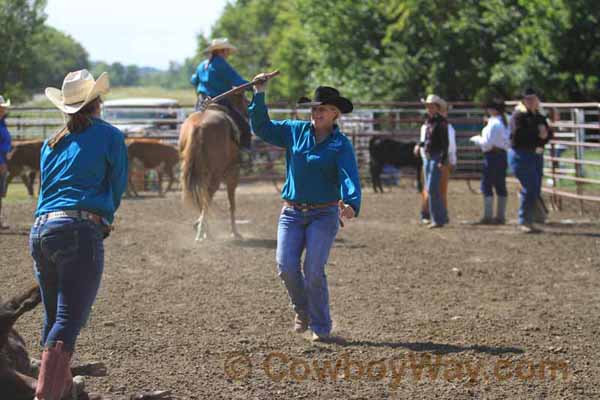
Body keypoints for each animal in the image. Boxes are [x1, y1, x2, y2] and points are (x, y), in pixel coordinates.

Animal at [178, 91, 246, 241]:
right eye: (243, 98)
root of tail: (198, 126)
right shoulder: (233, 173)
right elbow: (231, 204)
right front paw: (235, 232)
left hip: (196, 171)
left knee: (203, 197)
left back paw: (203, 230)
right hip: (216, 174)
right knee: (208, 196)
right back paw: (201, 232)